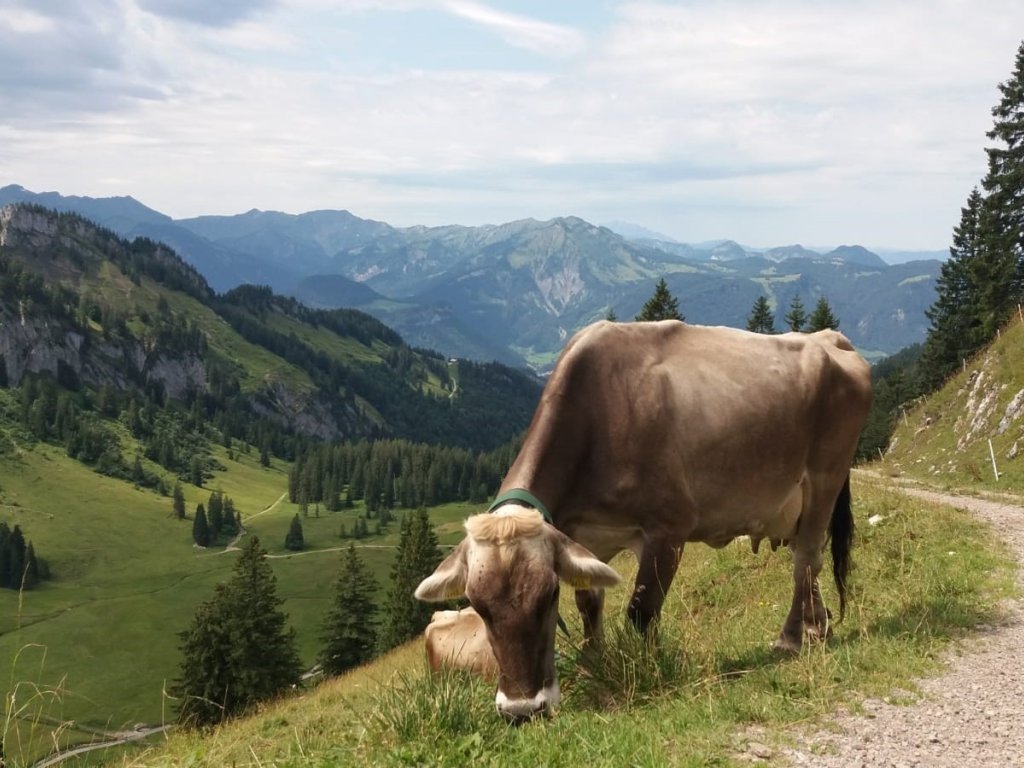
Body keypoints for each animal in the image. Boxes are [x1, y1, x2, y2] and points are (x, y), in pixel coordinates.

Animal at [415, 321, 872, 724]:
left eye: (547, 596)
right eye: (478, 606)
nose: (522, 710)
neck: (598, 417)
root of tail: (829, 338)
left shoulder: (667, 528)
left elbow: (641, 610)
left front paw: (643, 666)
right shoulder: (586, 537)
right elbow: (589, 605)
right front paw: (591, 667)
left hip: (826, 477)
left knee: (806, 558)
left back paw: (792, 638)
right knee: (806, 560)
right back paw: (818, 626)